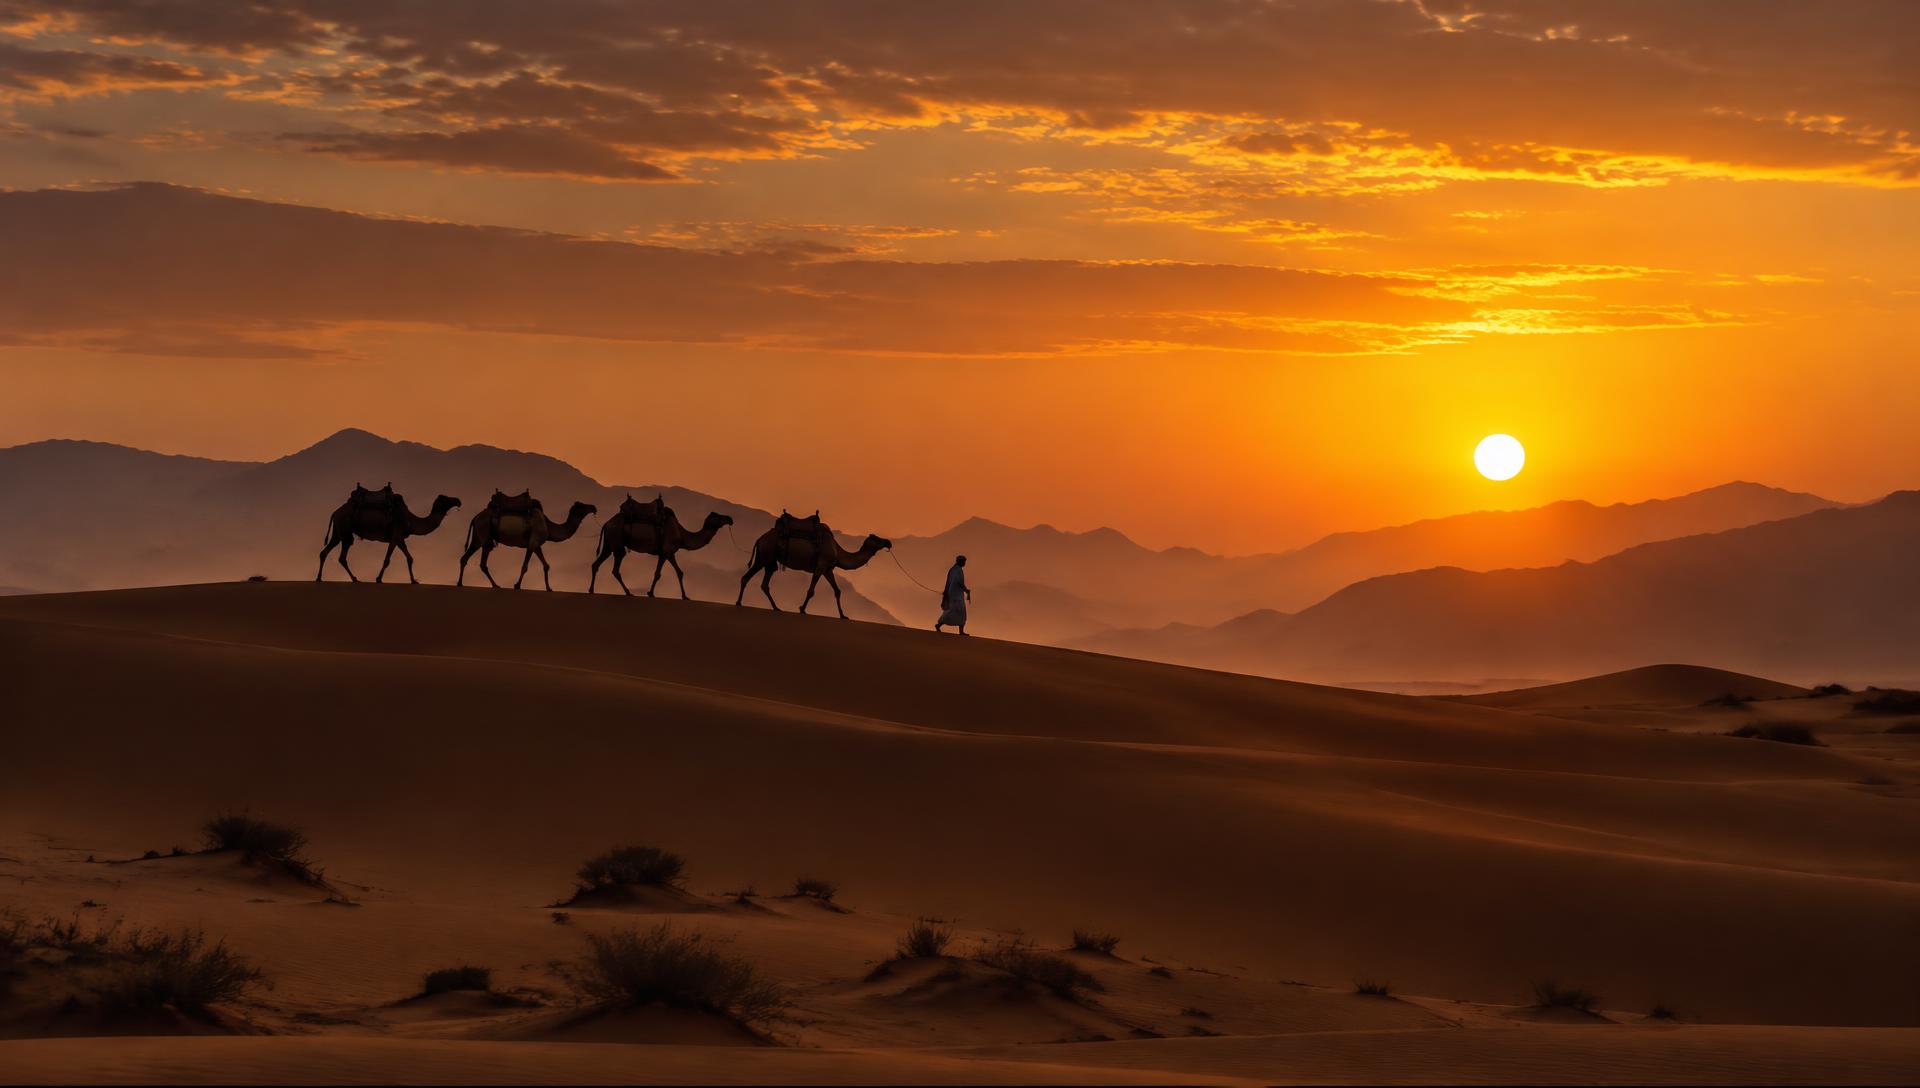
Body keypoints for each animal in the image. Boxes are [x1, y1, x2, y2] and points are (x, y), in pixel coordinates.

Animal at [316, 487, 462, 584]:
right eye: (445, 498)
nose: (458, 500)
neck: (410, 520)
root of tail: (335, 512)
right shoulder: (395, 536)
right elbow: (387, 560)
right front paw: (378, 579)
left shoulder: (400, 538)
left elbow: (410, 558)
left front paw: (414, 580)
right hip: (345, 531)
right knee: (342, 556)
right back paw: (354, 578)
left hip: (338, 531)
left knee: (326, 552)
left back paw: (319, 578)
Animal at [457, 498, 597, 590]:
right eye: (582, 506)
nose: (594, 507)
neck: (548, 526)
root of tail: (476, 517)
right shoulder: (532, 543)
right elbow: (525, 566)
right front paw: (517, 585)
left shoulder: (537, 545)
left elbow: (546, 565)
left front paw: (549, 588)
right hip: (485, 535)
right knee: (483, 563)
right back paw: (495, 585)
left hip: (477, 538)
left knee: (464, 558)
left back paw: (460, 583)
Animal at [588, 495, 734, 599]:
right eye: (717, 516)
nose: (730, 518)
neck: (681, 535)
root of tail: (607, 523)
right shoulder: (665, 552)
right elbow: (658, 574)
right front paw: (650, 593)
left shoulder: (670, 553)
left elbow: (680, 572)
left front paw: (685, 596)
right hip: (617, 543)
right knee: (615, 569)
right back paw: (628, 592)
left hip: (609, 544)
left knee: (596, 564)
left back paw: (591, 590)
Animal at [735, 517, 892, 619]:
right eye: (876, 538)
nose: (888, 542)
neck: (837, 551)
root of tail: (759, 539)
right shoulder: (820, 566)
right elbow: (811, 591)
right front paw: (802, 609)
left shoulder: (828, 570)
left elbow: (837, 591)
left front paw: (843, 615)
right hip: (764, 556)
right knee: (746, 577)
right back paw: (739, 602)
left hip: (769, 561)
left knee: (764, 584)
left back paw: (776, 607)